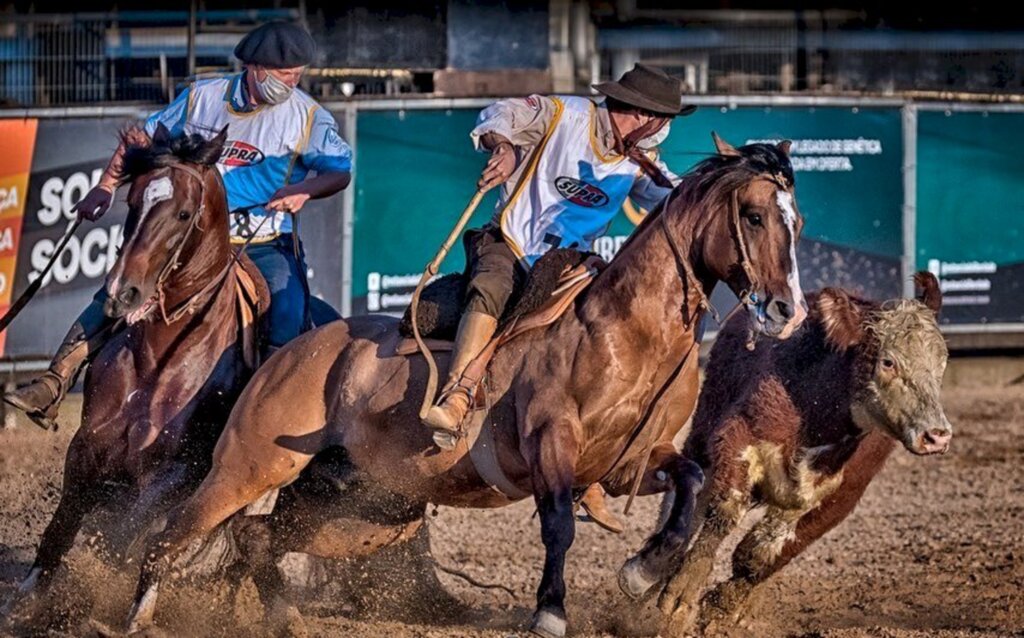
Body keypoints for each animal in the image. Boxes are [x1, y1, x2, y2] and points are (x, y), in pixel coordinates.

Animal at [3, 123, 268, 618]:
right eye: (131, 202)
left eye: (183, 213)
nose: (119, 293)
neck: (157, 357)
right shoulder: (87, 445)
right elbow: (62, 529)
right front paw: (24, 604)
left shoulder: (179, 470)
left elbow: (135, 536)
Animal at [121, 132, 806, 634]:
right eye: (753, 216)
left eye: (795, 222)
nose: (785, 310)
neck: (625, 333)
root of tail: (293, 351)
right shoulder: (549, 446)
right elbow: (558, 524)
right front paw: (550, 610)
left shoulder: (626, 463)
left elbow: (689, 484)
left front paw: (643, 570)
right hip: (250, 465)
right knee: (177, 532)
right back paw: (137, 615)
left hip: (358, 510)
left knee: (254, 534)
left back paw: (282, 615)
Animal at [622, 272, 950, 634]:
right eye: (888, 362)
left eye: (941, 363)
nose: (936, 435)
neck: (816, 411)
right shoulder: (737, 438)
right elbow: (724, 513)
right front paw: (681, 593)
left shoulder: (839, 495)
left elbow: (763, 553)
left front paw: (723, 606)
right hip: (705, 427)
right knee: (690, 496)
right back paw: (649, 572)